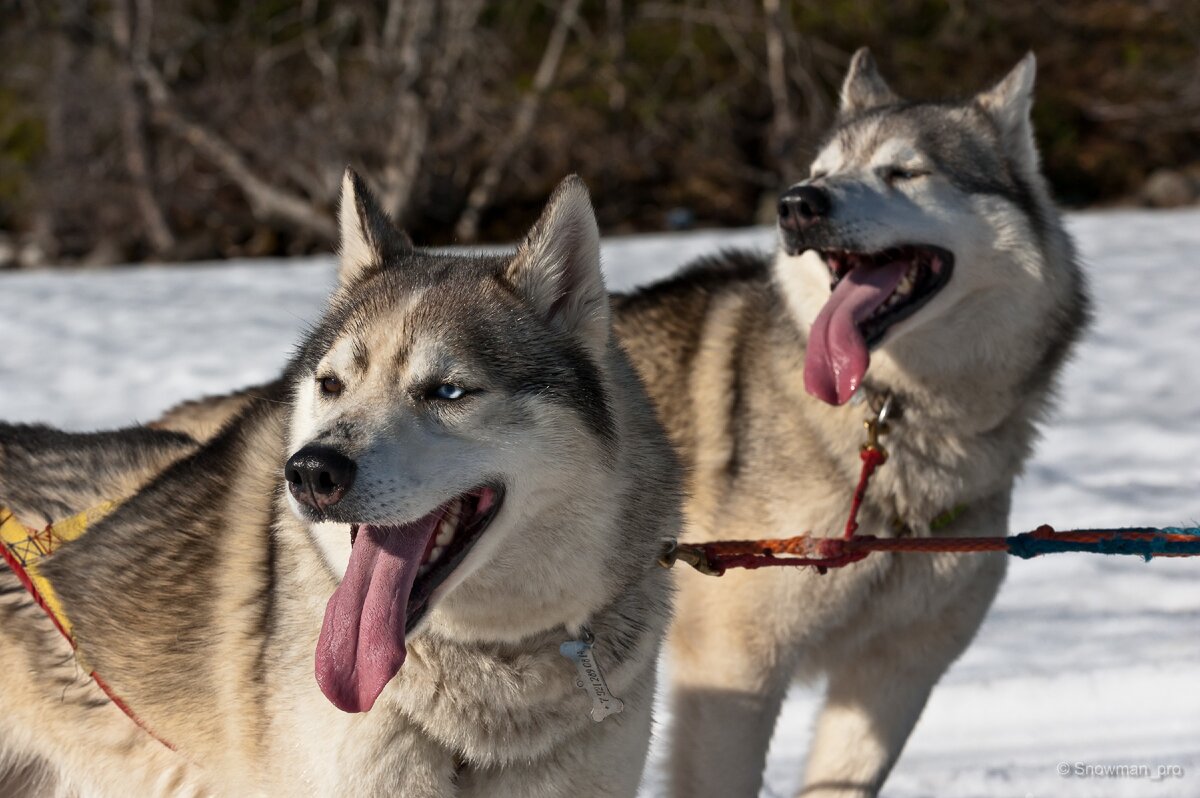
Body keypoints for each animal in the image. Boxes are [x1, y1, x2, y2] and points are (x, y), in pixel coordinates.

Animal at [609, 51, 1089, 796]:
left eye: (904, 171)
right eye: (821, 170)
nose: (797, 203)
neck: (890, 419)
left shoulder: (894, 677)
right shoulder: (734, 673)